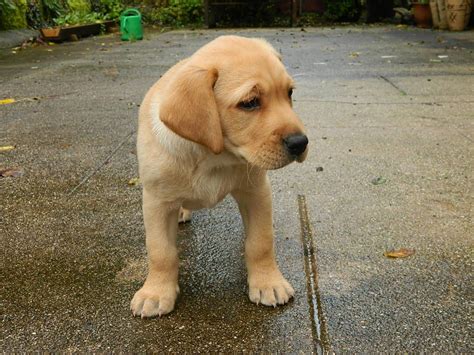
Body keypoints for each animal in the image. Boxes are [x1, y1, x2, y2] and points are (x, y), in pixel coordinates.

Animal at [131, 35, 308, 320]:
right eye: (249, 102)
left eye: (289, 93)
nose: (300, 143)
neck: (212, 156)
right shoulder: (156, 201)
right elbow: (161, 251)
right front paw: (156, 293)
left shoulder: (256, 191)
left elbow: (261, 241)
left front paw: (268, 283)